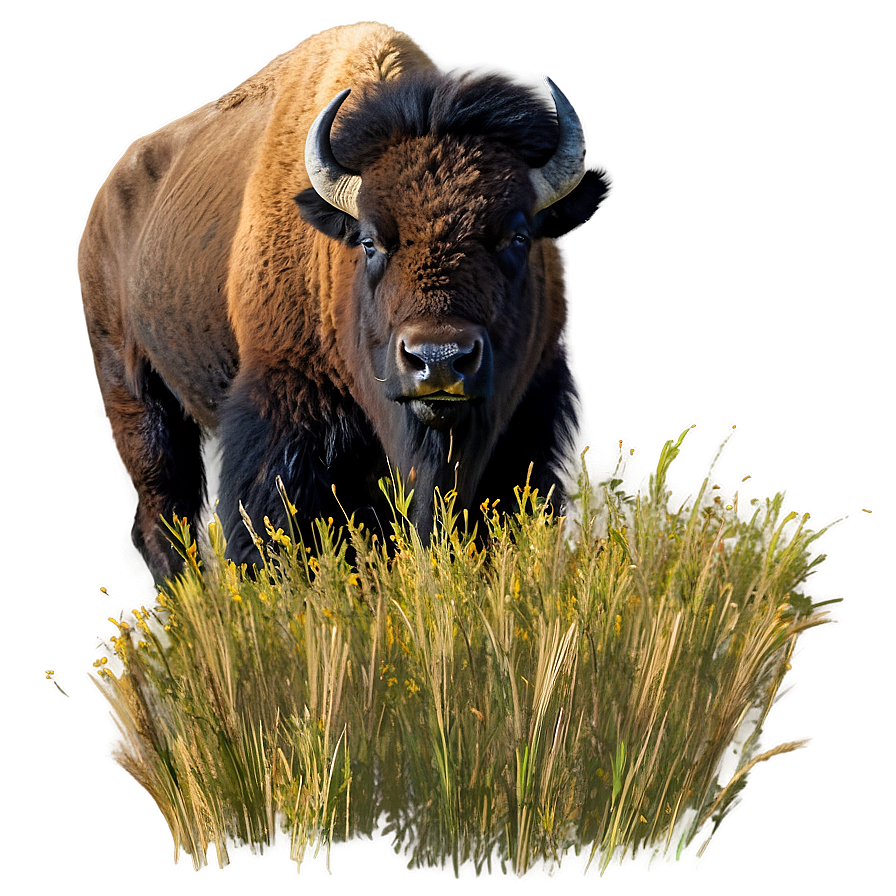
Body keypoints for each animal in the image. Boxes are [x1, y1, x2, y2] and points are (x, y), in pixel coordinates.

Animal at [80, 22, 610, 579]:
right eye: (370, 241)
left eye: (519, 236)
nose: (439, 359)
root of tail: (105, 199)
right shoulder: (282, 403)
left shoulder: (532, 407)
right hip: (134, 394)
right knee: (165, 512)